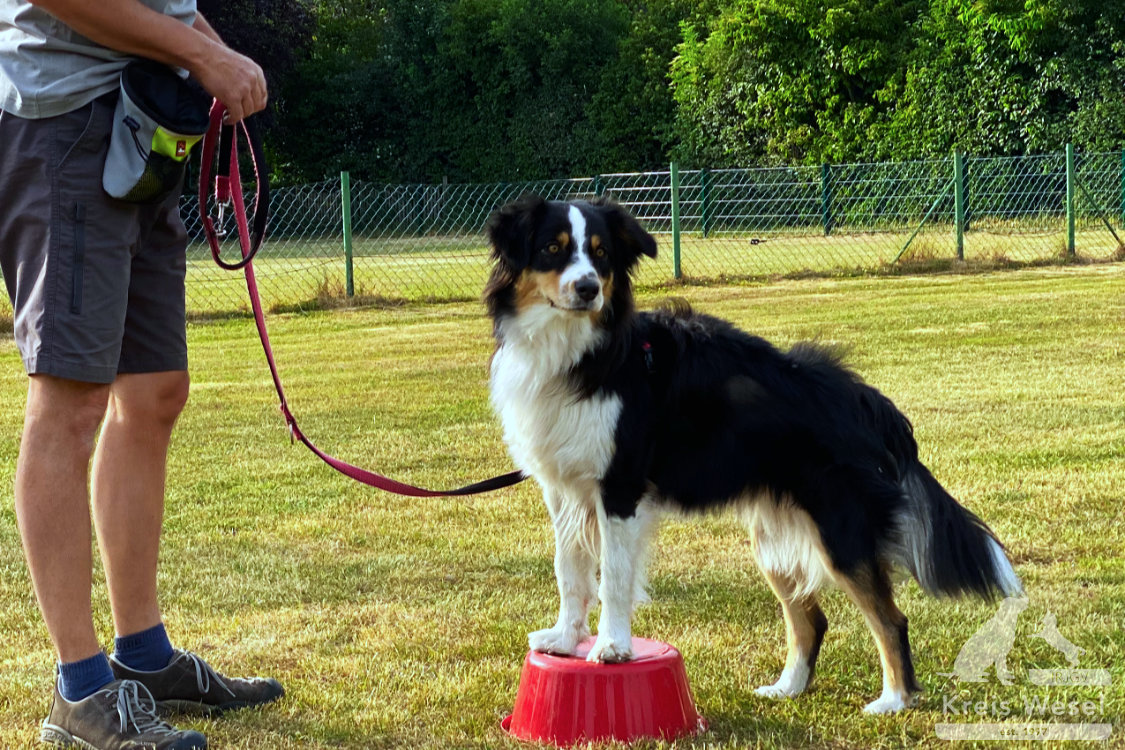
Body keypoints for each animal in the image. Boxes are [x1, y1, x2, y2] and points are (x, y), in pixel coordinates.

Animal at [479, 196, 1026, 715]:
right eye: (553, 248)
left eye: (602, 254)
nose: (588, 288)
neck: (580, 352)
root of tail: (865, 399)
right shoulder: (565, 489)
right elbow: (569, 570)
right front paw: (565, 639)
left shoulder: (620, 487)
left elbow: (612, 576)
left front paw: (612, 647)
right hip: (773, 536)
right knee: (812, 619)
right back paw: (787, 689)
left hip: (840, 529)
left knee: (890, 618)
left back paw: (893, 700)